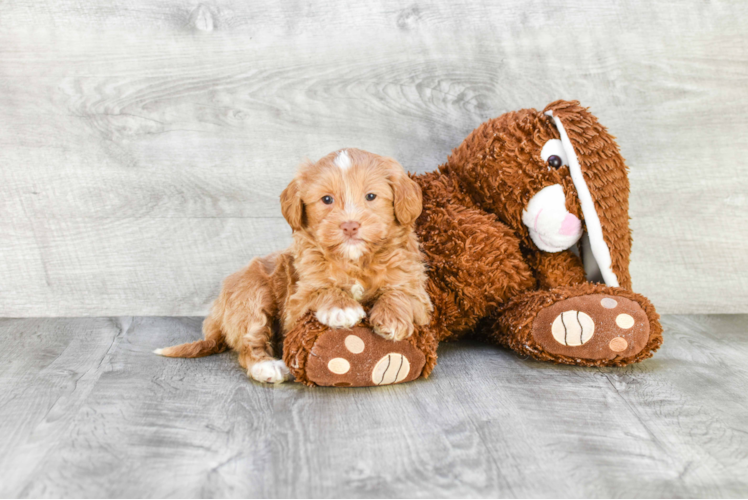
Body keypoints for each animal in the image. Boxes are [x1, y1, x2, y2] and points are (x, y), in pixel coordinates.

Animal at [154, 147, 430, 382]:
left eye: (371, 196)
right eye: (327, 200)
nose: (350, 225)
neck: (354, 259)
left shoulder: (417, 290)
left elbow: (400, 292)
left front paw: (392, 318)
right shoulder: (297, 301)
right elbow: (322, 289)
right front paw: (341, 308)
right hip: (251, 296)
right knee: (249, 344)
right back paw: (267, 367)